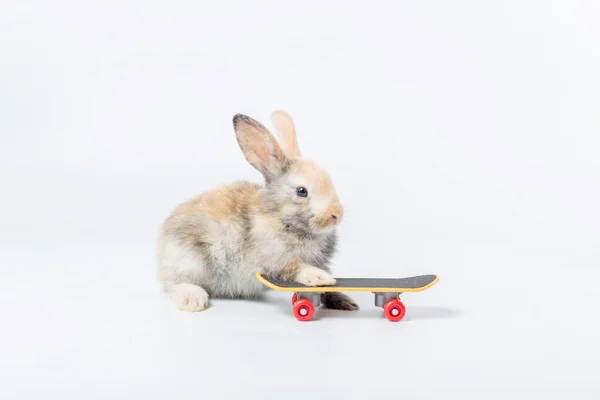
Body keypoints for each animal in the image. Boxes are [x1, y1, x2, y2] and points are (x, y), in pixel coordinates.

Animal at [157, 110, 358, 312]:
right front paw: (319, 277)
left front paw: (344, 300)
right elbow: (295, 268)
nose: (336, 214)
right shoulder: (275, 259)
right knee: (173, 282)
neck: (282, 218)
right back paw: (193, 299)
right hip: (189, 260)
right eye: (301, 191)